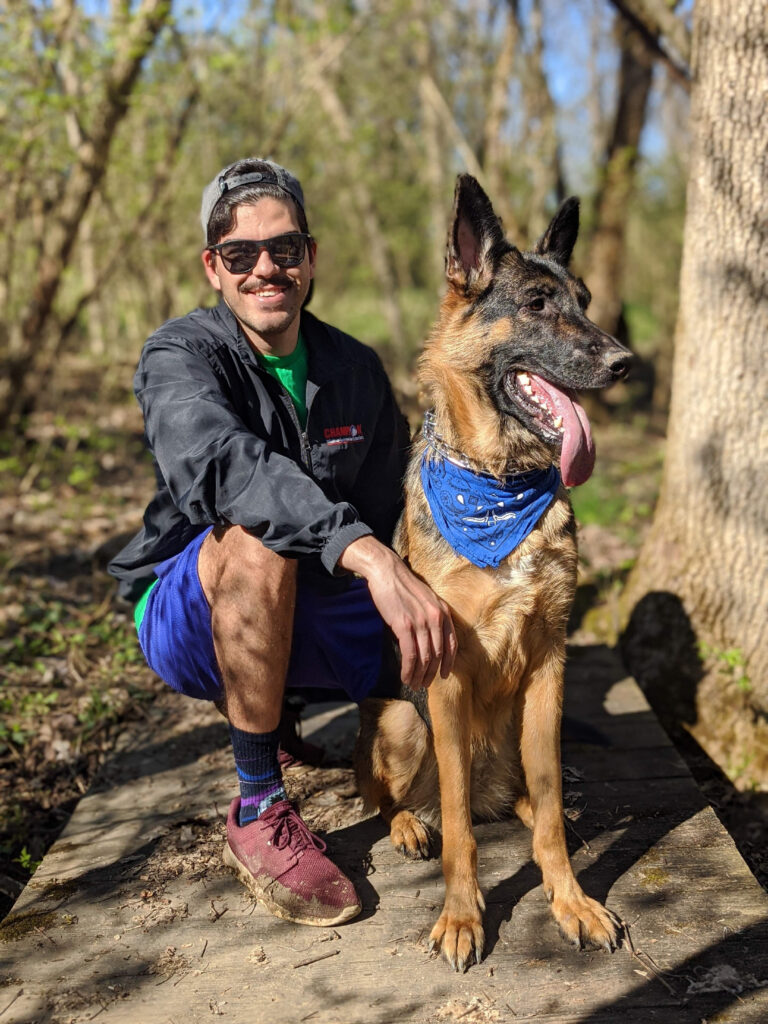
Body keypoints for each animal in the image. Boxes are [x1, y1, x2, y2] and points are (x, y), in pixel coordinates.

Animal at [354, 178, 630, 974]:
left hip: (517, 728)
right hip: (401, 719)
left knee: (528, 801)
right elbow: (457, 828)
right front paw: (461, 915)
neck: (499, 484)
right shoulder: (444, 674)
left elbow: (552, 821)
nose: (626, 362)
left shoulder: (549, 666)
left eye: (584, 300)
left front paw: (570, 899)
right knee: (392, 796)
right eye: (536, 304)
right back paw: (409, 827)